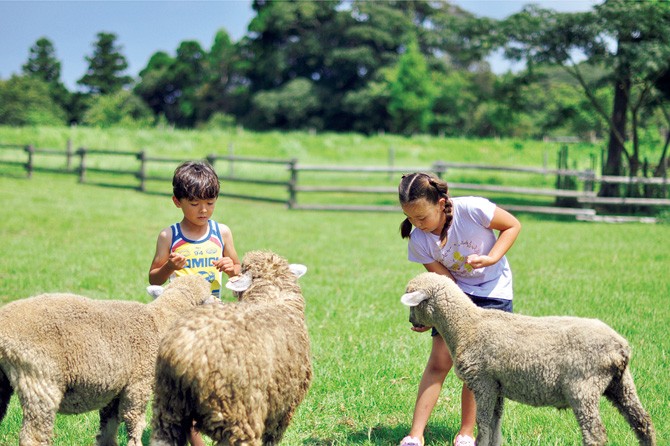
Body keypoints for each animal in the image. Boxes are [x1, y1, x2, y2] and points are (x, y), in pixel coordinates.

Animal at [0, 276, 213, 446]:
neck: (159, 322)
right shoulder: (138, 383)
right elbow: (134, 423)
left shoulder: (114, 389)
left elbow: (108, 427)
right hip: (40, 379)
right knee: (32, 437)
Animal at [402, 272, 660, 446]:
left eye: (413, 303)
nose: (411, 322)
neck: (466, 325)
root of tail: (620, 348)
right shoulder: (498, 387)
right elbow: (495, 423)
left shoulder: (483, 383)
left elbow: (483, 424)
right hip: (621, 384)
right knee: (643, 422)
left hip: (583, 387)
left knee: (596, 434)